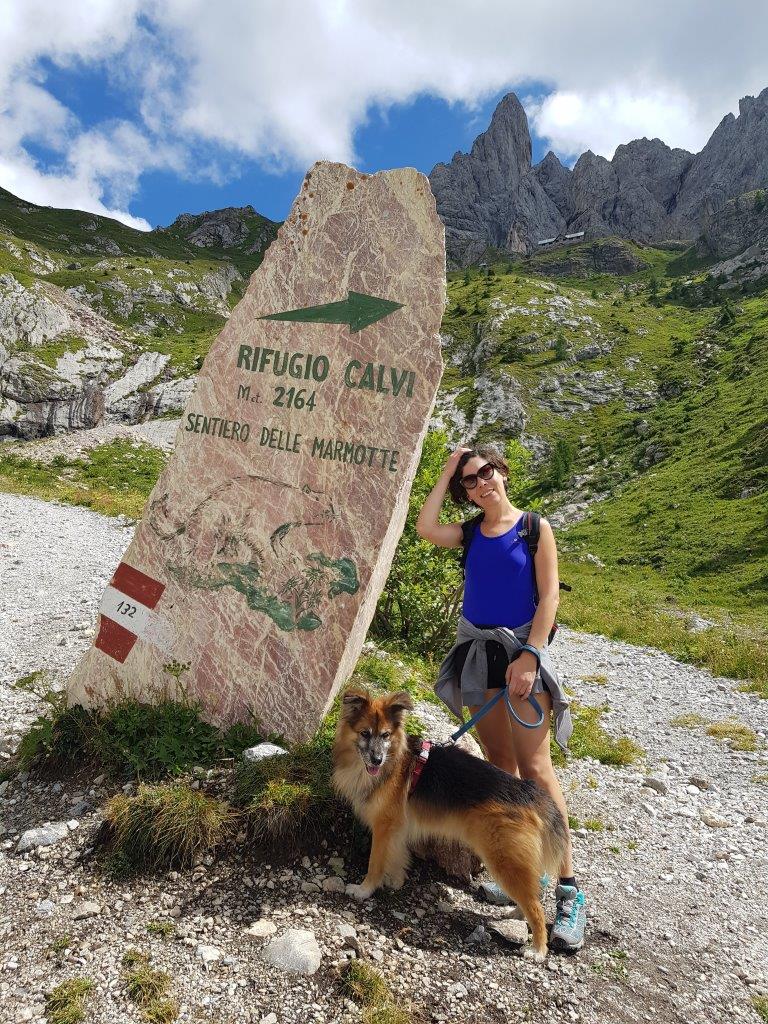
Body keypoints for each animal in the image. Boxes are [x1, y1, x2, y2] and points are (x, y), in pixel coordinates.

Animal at [331, 688, 573, 958]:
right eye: (364, 733)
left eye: (385, 735)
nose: (376, 760)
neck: (394, 761)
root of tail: (530, 793)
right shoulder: (396, 827)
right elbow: (396, 856)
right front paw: (395, 880)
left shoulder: (383, 826)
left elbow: (375, 863)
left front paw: (365, 889)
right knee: (531, 897)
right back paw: (516, 914)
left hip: (504, 860)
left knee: (536, 907)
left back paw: (538, 949)